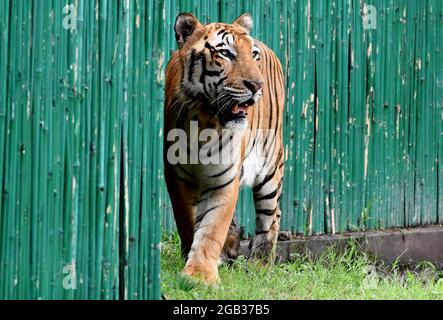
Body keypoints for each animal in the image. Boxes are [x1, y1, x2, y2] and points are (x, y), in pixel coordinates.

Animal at [165, 12, 286, 284]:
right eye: (226, 53)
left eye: (253, 54)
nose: (257, 85)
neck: (204, 122)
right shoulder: (177, 176)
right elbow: (187, 220)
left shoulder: (225, 177)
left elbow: (212, 228)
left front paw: (200, 275)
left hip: (271, 168)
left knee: (271, 216)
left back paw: (261, 264)